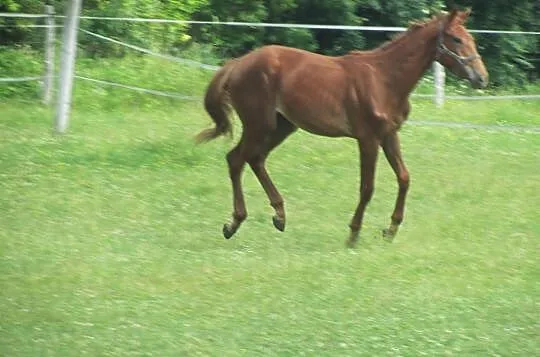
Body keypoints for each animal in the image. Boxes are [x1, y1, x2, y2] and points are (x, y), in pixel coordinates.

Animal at [196, 9, 488, 248]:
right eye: (456, 39)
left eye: (471, 38)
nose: (482, 78)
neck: (385, 79)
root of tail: (236, 64)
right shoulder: (368, 138)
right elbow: (367, 187)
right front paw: (353, 234)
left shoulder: (389, 134)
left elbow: (404, 178)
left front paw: (390, 230)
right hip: (259, 123)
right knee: (236, 159)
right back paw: (234, 223)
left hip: (282, 126)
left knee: (254, 159)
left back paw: (278, 216)